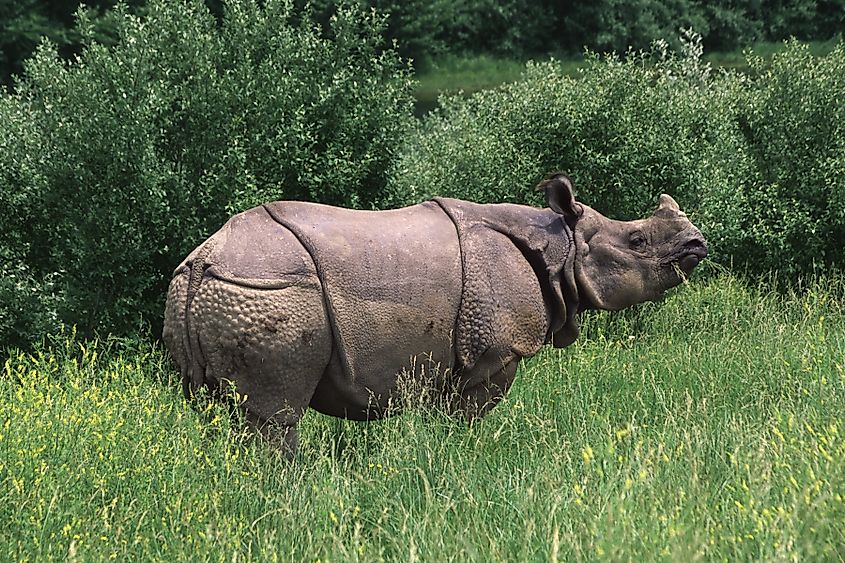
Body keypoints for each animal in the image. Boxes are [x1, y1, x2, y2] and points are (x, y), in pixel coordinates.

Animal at [163, 173, 707, 453]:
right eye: (637, 241)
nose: (697, 244)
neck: (561, 245)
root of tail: (204, 261)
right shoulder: (493, 352)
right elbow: (467, 416)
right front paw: (462, 458)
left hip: (206, 291)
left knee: (217, 413)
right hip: (269, 291)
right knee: (273, 417)